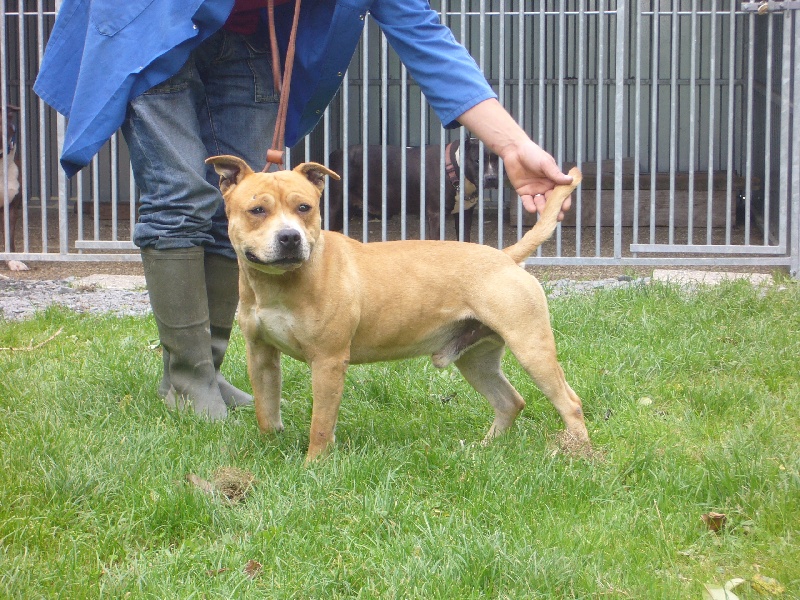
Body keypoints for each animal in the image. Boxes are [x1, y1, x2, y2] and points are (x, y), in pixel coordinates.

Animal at [206, 155, 588, 460]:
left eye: (305, 208)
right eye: (257, 210)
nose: (289, 237)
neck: (280, 283)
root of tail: (506, 256)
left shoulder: (328, 362)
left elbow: (321, 424)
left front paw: (313, 465)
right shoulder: (261, 355)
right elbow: (266, 411)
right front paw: (269, 450)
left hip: (532, 349)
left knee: (570, 404)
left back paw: (580, 456)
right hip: (475, 360)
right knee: (510, 401)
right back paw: (484, 449)